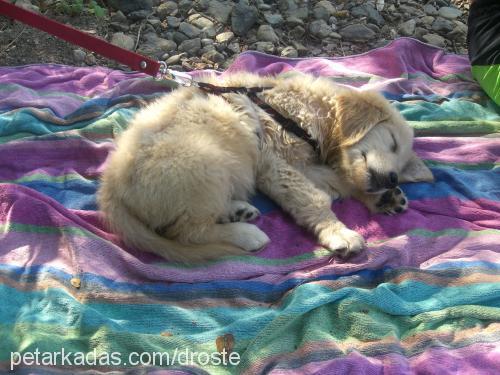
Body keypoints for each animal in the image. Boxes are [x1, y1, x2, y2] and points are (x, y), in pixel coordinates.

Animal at [97, 72, 434, 262]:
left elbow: (342, 180)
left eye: (401, 164)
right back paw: (247, 234)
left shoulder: (301, 164)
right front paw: (339, 233)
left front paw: (382, 198)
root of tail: (110, 189)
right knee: (186, 232)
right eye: (393, 142)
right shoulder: (274, 161)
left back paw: (237, 210)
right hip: (204, 159)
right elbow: (312, 198)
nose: (392, 179)